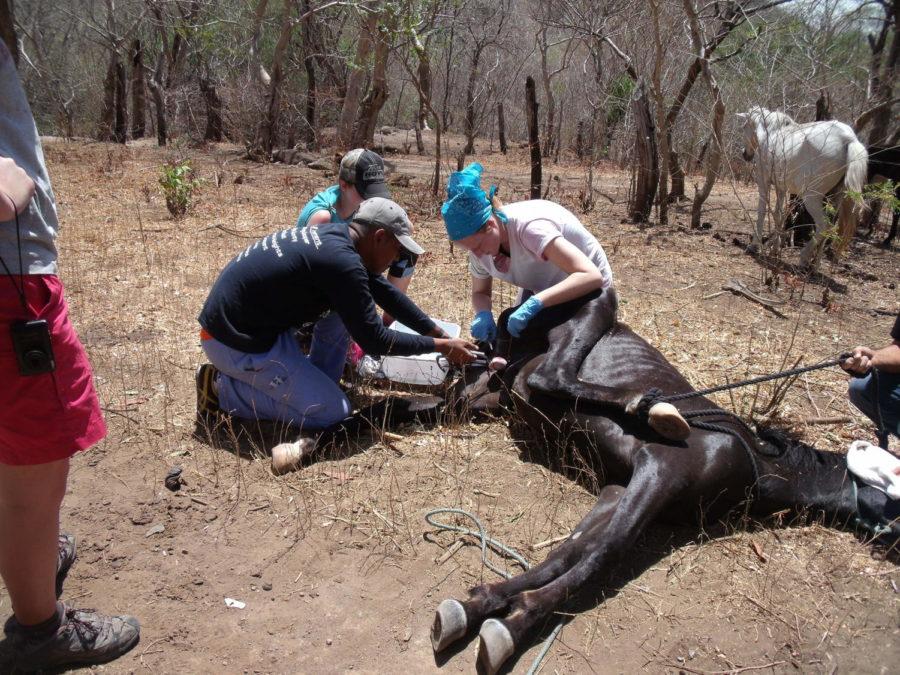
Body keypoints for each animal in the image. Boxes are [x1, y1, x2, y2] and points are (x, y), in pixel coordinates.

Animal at [432, 290, 896, 675]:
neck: (752, 460)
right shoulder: (660, 472)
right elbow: (605, 553)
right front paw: (517, 624)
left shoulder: (621, 487)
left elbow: (571, 551)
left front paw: (484, 604)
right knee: (551, 376)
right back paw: (650, 407)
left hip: (484, 394)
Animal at [736, 107, 868, 268]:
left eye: (744, 127)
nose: (745, 154)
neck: (770, 133)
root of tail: (849, 139)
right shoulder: (781, 188)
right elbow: (778, 214)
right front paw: (775, 249)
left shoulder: (763, 183)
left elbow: (762, 212)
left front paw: (754, 245)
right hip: (836, 198)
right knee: (831, 225)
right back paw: (815, 264)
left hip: (811, 198)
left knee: (824, 225)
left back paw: (804, 257)